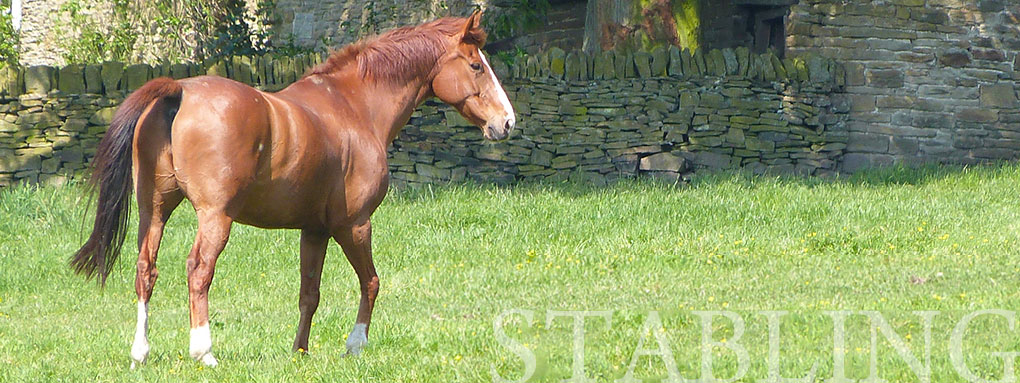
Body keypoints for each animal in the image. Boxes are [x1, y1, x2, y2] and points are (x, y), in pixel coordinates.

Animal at [69, 10, 518, 367]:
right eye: (476, 66)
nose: (507, 122)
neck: (354, 107)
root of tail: (179, 91)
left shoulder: (314, 230)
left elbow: (309, 292)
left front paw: (299, 351)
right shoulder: (354, 225)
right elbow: (371, 282)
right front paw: (355, 345)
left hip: (155, 209)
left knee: (146, 269)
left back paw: (140, 352)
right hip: (215, 217)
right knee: (198, 271)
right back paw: (204, 352)